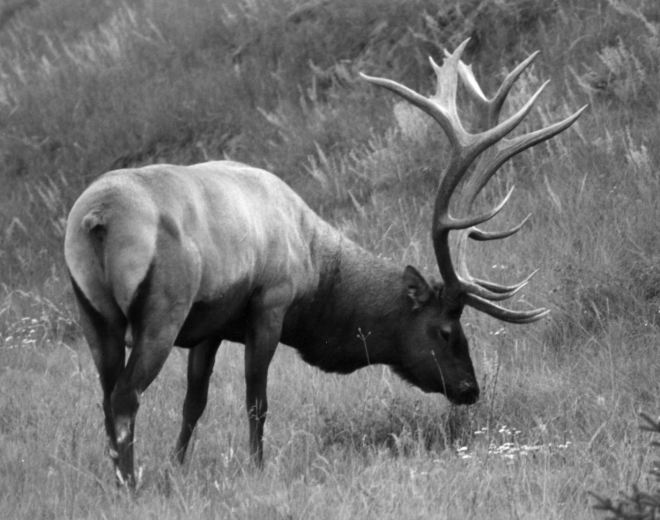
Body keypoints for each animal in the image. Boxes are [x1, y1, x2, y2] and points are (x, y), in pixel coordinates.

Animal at [64, 40, 584, 488]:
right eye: (446, 330)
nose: (470, 389)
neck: (316, 276)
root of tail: (97, 218)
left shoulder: (211, 325)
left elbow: (195, 402)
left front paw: (177, 466)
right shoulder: (270, 304)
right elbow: (257, 401)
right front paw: (257, 467)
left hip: (92, 311)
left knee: (106, 397)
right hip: (162, 309)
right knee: (126, 397)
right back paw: (130, 485)